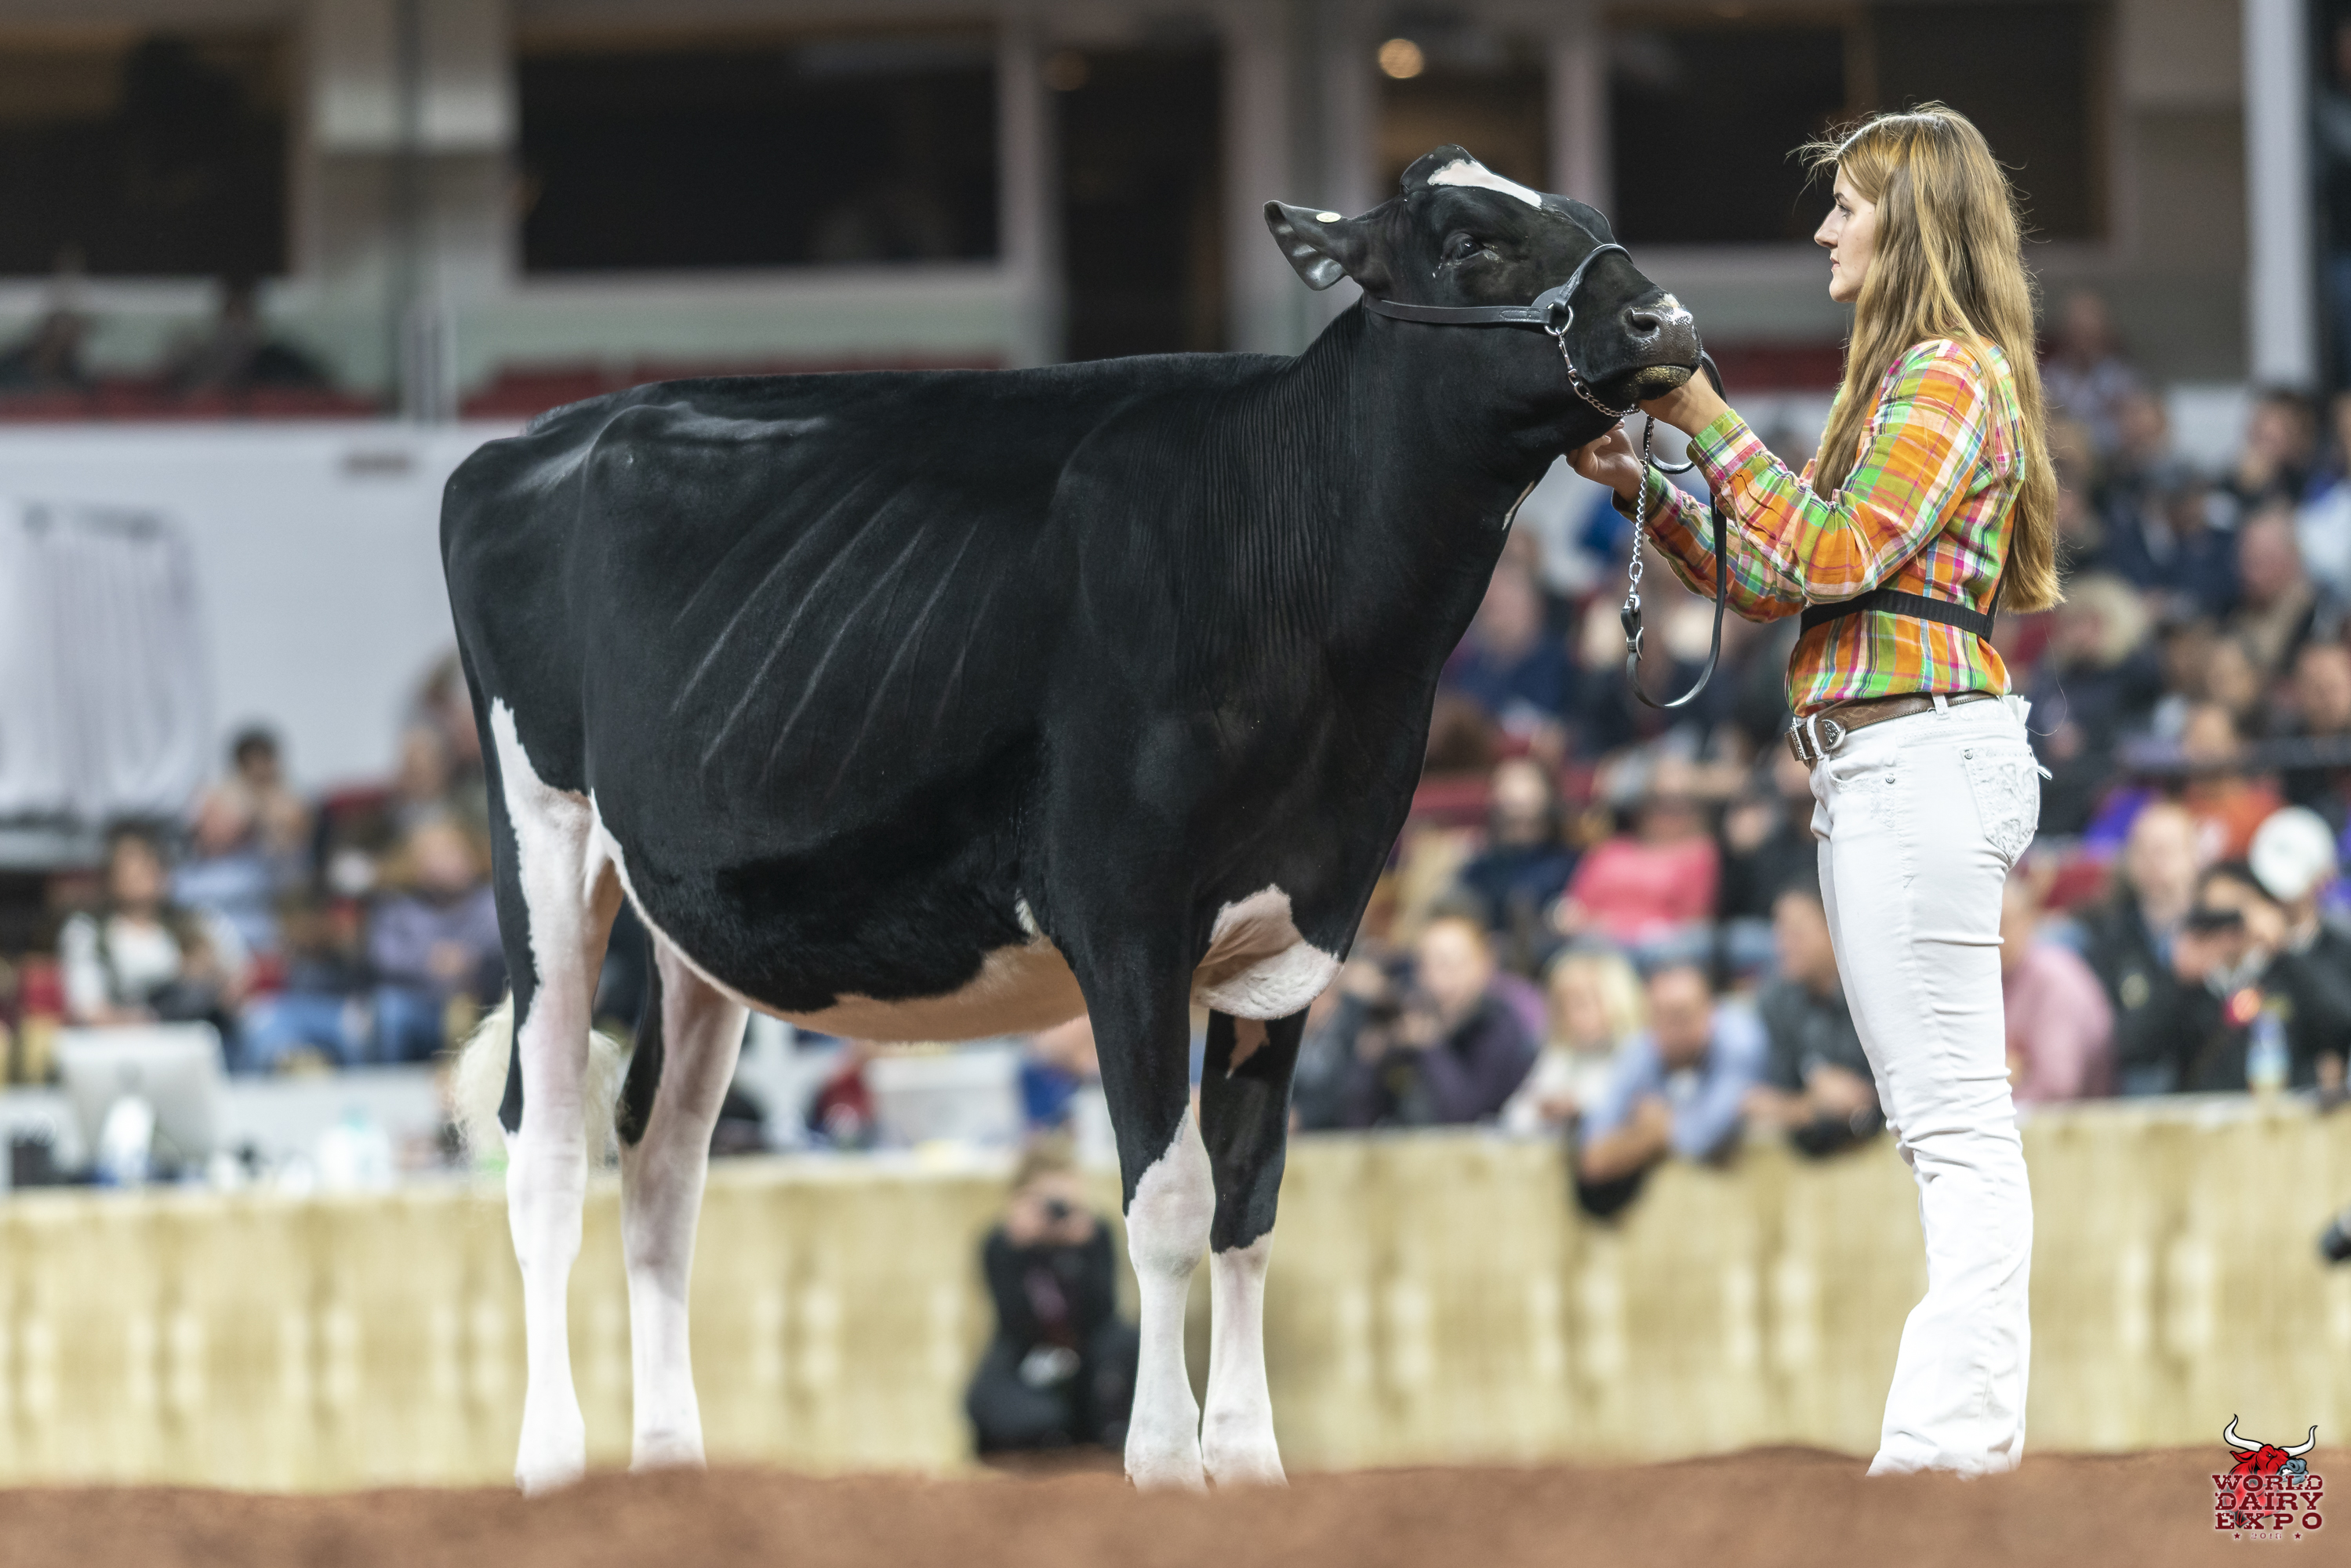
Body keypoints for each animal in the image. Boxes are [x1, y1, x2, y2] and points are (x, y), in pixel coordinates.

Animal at [441, 144, 1700, 1494]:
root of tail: (545, 434)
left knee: (661, 1159)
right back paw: (551, 1465)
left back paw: (672, 1467)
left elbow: (1249, 1201)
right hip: (542, 835)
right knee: (545, 1148)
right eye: (1468, 242)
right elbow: (1167, 1203)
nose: (1664, 320)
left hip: (690, 920)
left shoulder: (1303, 924)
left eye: (1590, 214)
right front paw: (1162, 1466)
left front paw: (1250, 1466)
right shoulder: (1127, 918)